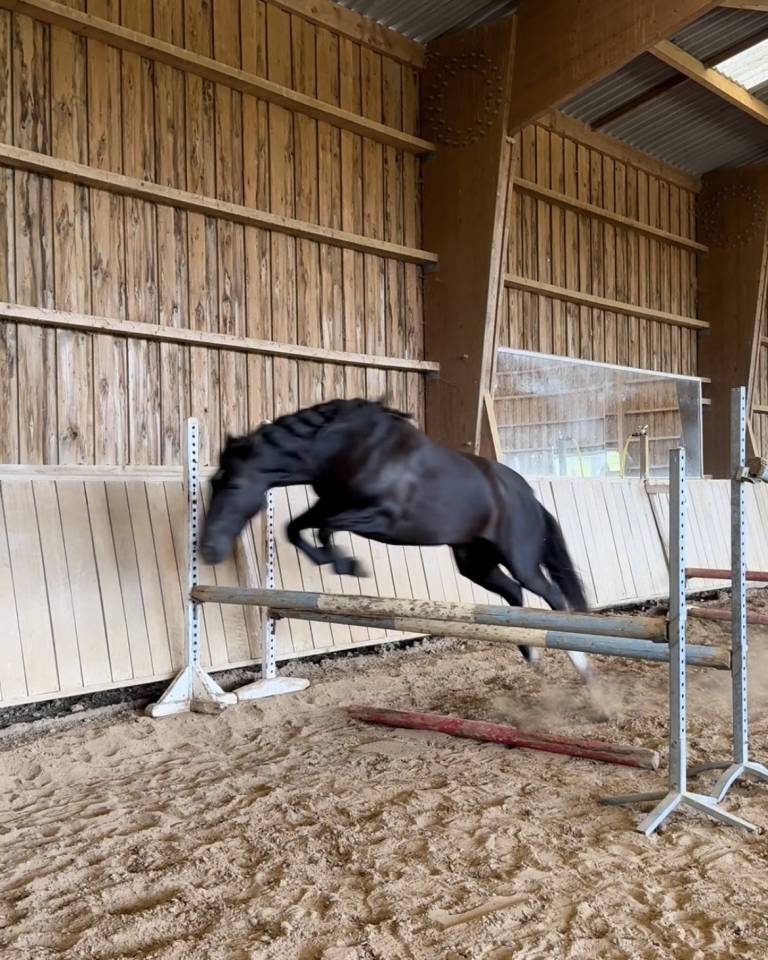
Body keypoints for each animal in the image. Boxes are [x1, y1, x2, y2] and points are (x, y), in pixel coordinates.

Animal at [200, 398, 593, 681]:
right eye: (213, 483)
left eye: (234, 484)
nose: (208, 551)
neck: (344, 448)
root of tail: (529, 496)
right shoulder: (330, 503)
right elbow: (294, 528)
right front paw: (340, 563)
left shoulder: (378, 517)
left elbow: (323, 528)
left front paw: (349, 565)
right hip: (475, 563)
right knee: (513, 594)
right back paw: (530, 653)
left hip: (520, 559)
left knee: (552, 596)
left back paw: (581, 665)